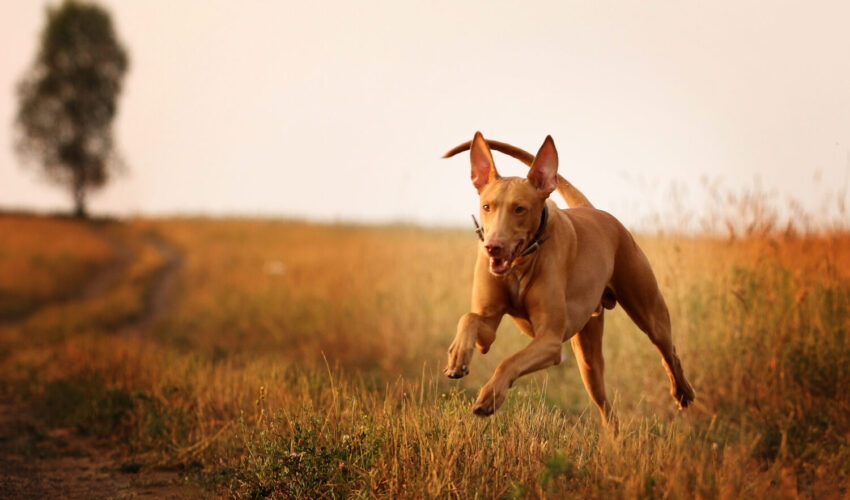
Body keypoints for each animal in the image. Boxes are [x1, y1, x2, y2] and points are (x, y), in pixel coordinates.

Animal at [440, 132, 692, 426]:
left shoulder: (550, 342)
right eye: (487, 206)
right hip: (588, 360)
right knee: (608, 411)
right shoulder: (487, 332)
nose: (493, 247)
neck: (520, 265)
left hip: (649, 313)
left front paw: (490, 396)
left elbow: (509, 361)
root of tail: (595, 211)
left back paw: (683, 392)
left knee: (669, 351)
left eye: (520, 209)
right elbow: (469, 318)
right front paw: (457, 357)